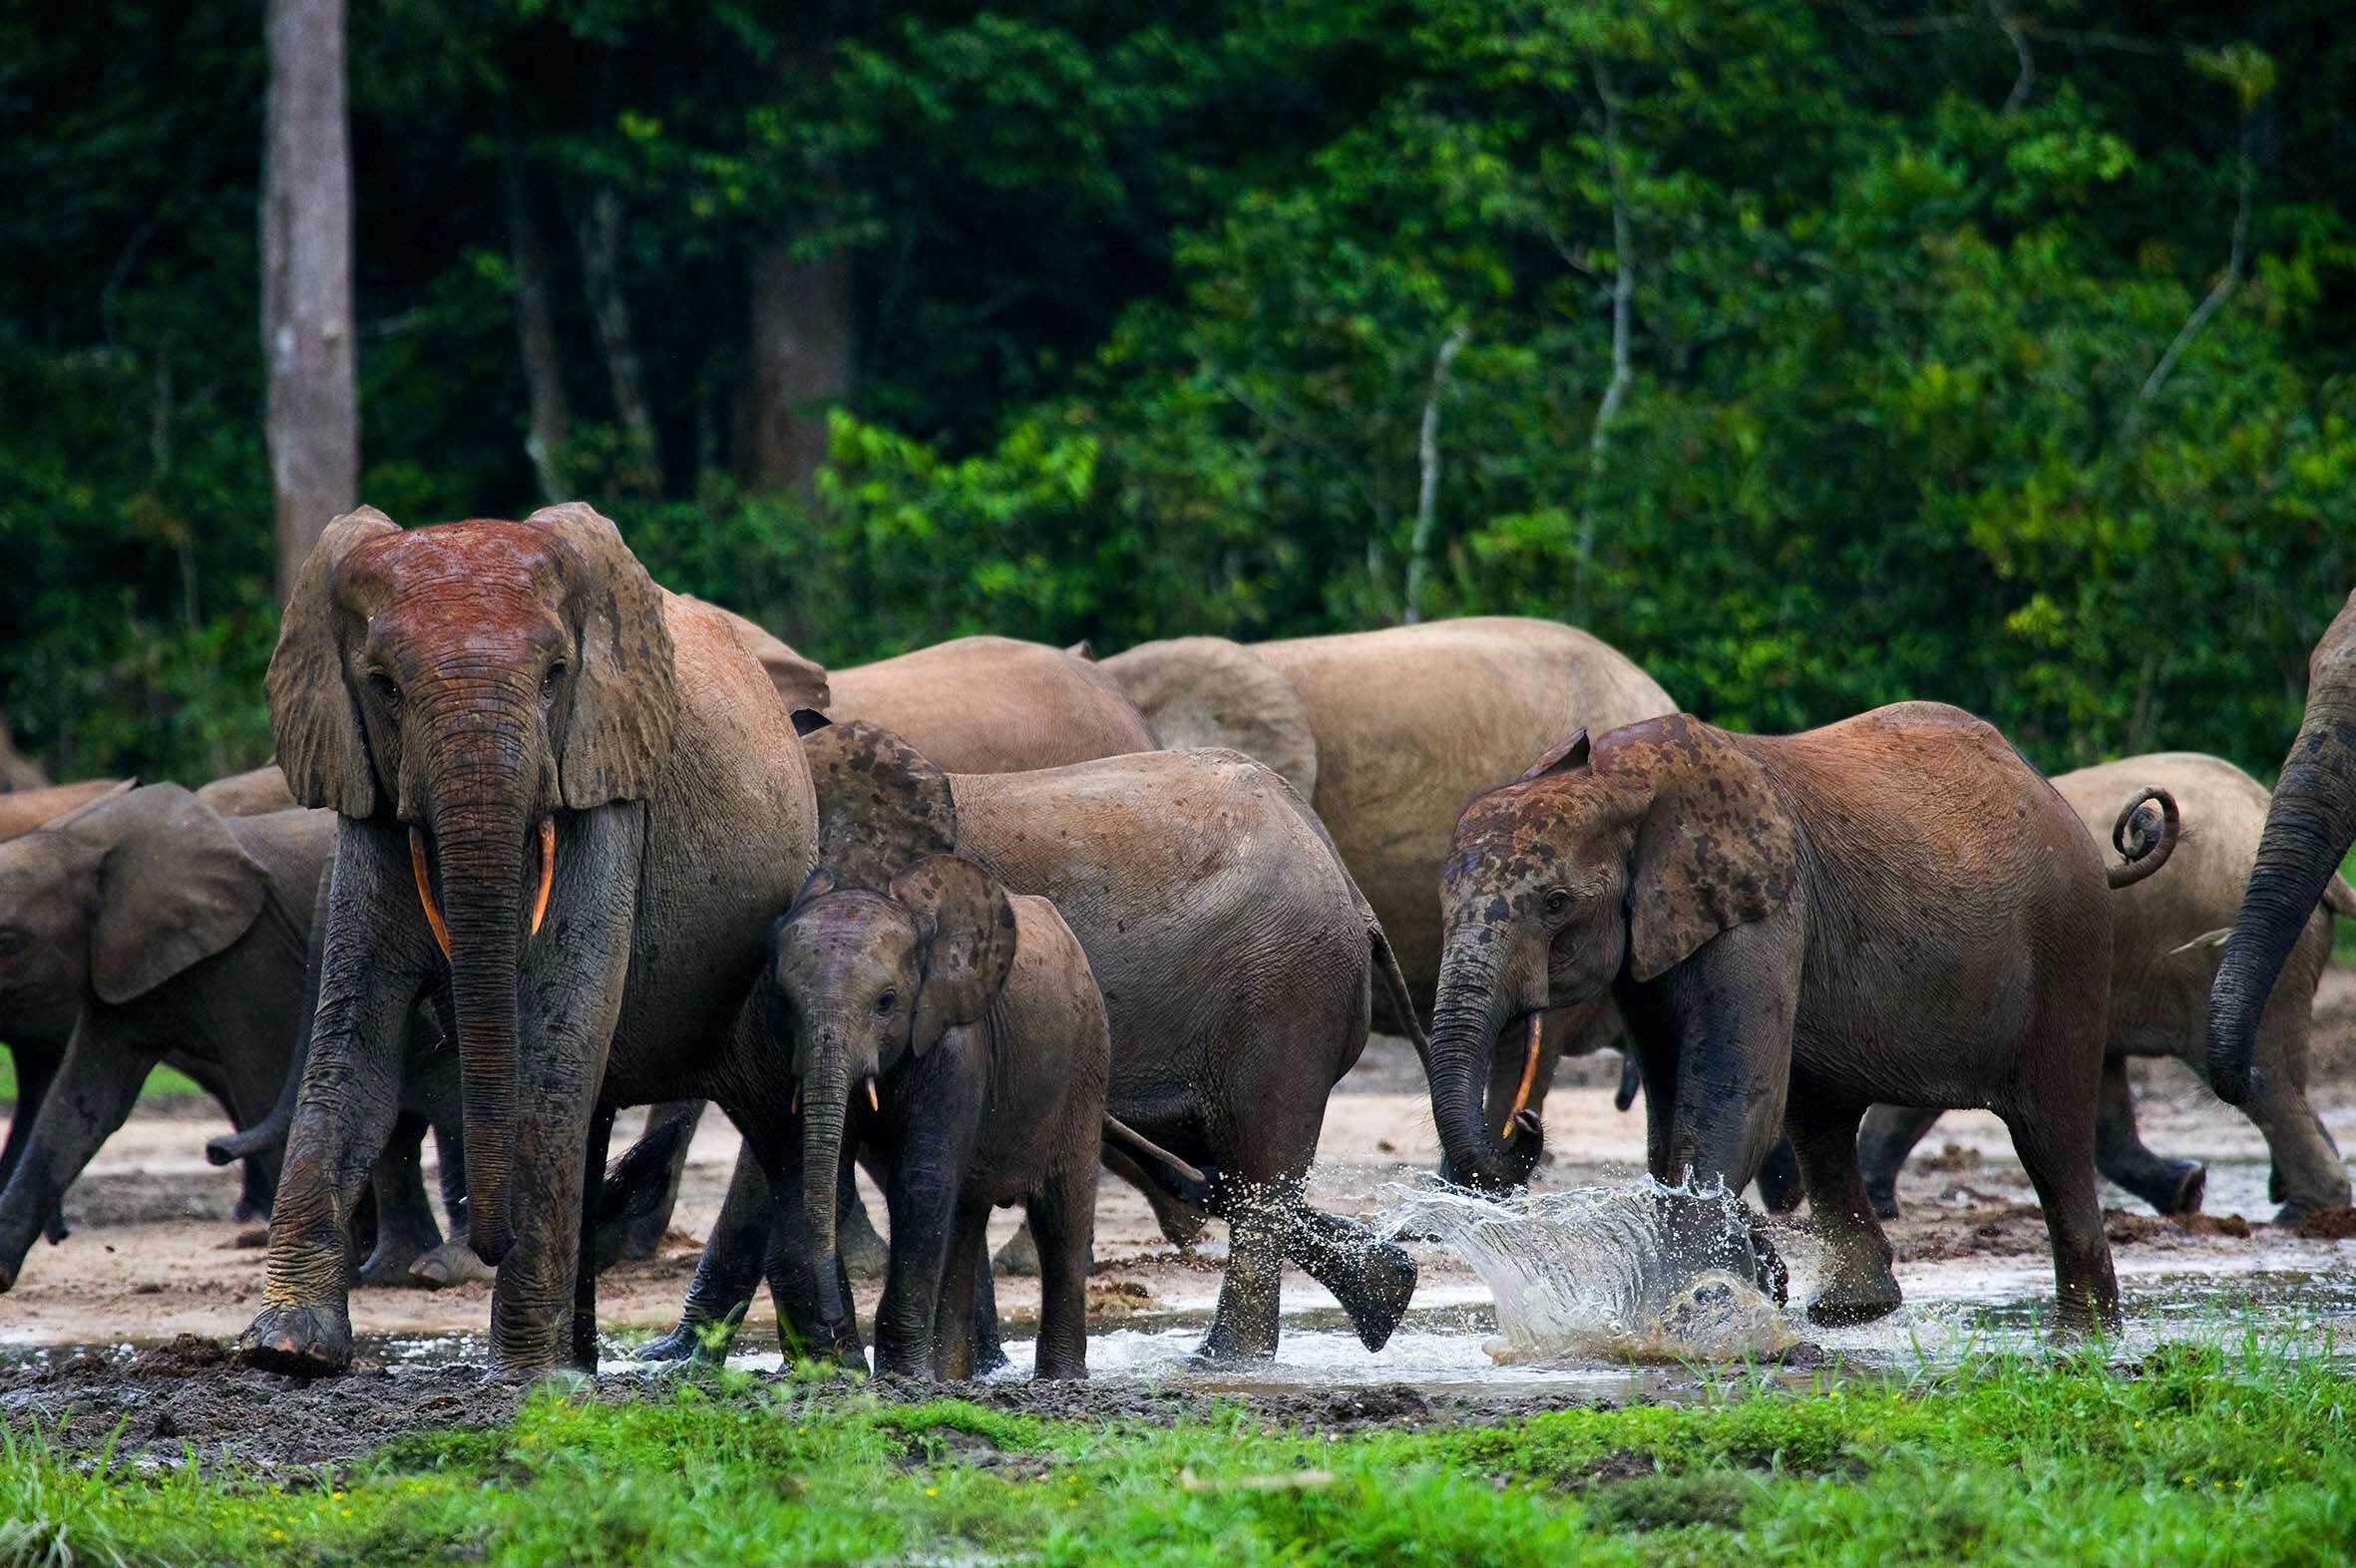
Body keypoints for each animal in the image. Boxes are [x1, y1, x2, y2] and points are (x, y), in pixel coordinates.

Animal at [0, 781, 336, 1281]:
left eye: (7, 941)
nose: (213, 1150)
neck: (88, 842)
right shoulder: (116, 969)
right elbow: (81, 1106)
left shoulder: (252, 956)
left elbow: (263, 1087)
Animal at [235, 501, 815, 1366]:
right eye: (383, 687)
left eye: (554, 677)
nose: (486, 1243)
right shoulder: (368, 809)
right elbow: (352, 1038)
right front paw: (285, 1349)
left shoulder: (606, 789)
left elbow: (555, 1036)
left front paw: (523, 1372)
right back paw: (579, 1356)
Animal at [768, 847, 1107, 1374]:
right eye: (783, 1002)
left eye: (887, 1002)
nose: (837, 1329)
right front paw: (913, 1375)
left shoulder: (956, 1043)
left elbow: (919, 1180)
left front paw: (901, 1377)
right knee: (965, 1220)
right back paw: (950, 1376)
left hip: (1084, 1069)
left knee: (1060, 1219)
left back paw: (1057, 1380)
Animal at [1422, 701, 2176, 1328]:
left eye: (1554, 903)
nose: (1525, 1126)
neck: (1619, 775)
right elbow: (1673, 1113)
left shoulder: (1764, 907)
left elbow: (1733, 1100)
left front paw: (1688, 1312)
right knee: (1823, 1124)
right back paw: (1852, 1312)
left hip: (2070, 946)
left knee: (2050, 1137)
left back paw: (2083, 1333)